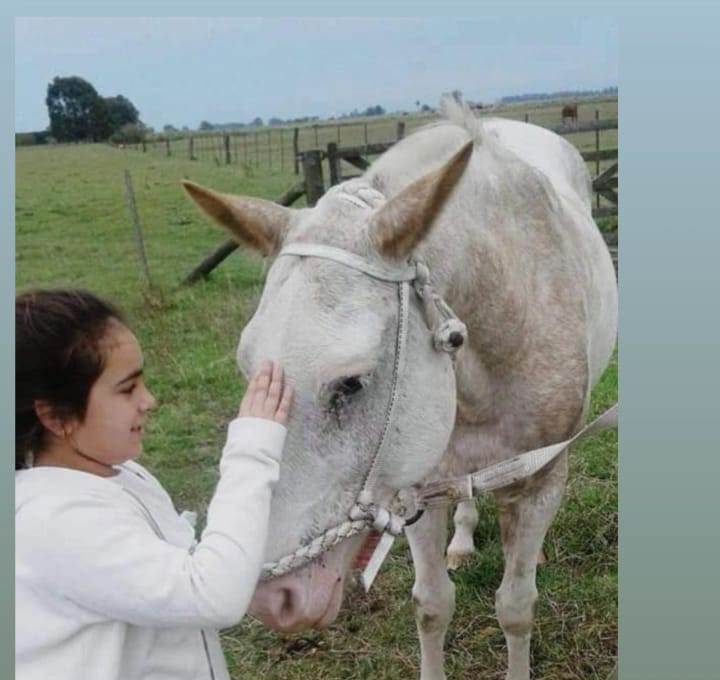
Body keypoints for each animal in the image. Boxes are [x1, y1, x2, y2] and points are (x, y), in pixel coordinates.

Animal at [183, 99, 616, 680]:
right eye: (248, 366)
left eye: (352, 382)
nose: (275, 600)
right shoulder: (414, 485)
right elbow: (432, 605)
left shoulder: (543, 478)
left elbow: (516, 606)